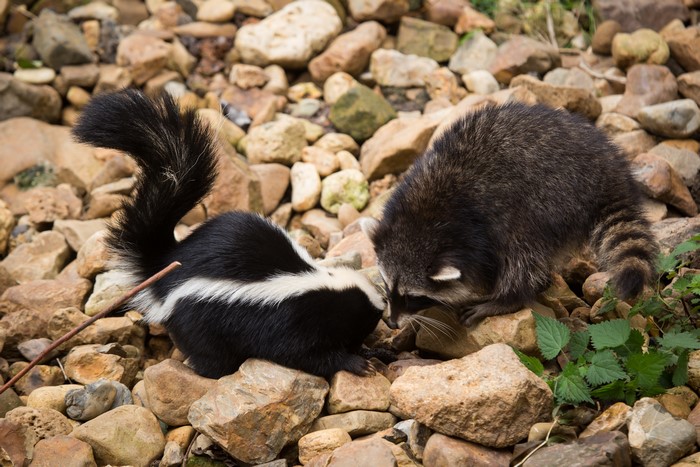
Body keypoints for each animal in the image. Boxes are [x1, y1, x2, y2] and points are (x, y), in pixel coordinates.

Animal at [362, 102, 659, 327]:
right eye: (387, 285)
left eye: (414, 297)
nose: (392, 323)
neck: (423, 219)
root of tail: (611, 174)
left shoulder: (476, 227)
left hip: (552, 198)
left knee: (522, 253)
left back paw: (507, 299)